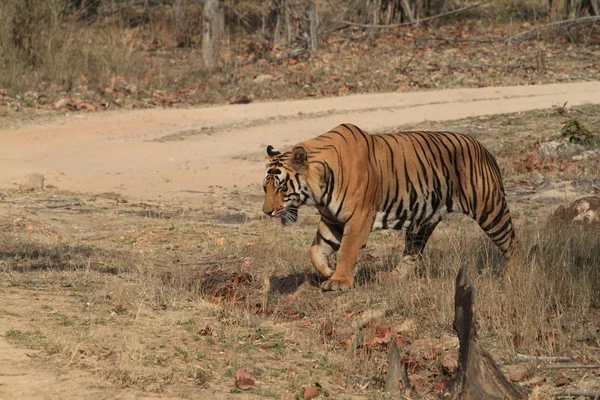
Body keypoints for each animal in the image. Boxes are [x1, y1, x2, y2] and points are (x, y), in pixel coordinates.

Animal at [262, 122, 520, 290]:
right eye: (265, 188)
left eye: (281, 187)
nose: (267, 212)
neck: (320, 190)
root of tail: (484, 148)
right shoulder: (332, 220)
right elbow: (315, 251)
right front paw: (327, 272)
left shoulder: (358, 218)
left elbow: (347, 250)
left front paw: (339, 281)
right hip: (422, 221)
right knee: (412, 254)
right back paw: (392, 277)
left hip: (490, 210)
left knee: (512, 242)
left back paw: (511, 278)